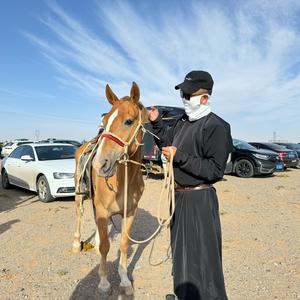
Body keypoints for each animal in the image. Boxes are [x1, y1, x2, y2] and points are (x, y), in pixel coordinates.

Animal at [72, 81, 149, 296]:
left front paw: (124, 280)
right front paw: (104, 283)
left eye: (129, 121)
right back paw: (76, 243)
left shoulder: (130, 213)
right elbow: (106, 248)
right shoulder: (102, 210)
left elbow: (123, 244)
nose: (99, 164)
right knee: (80, 215)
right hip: (79, 195)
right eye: (104, 120)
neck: (123, 180)